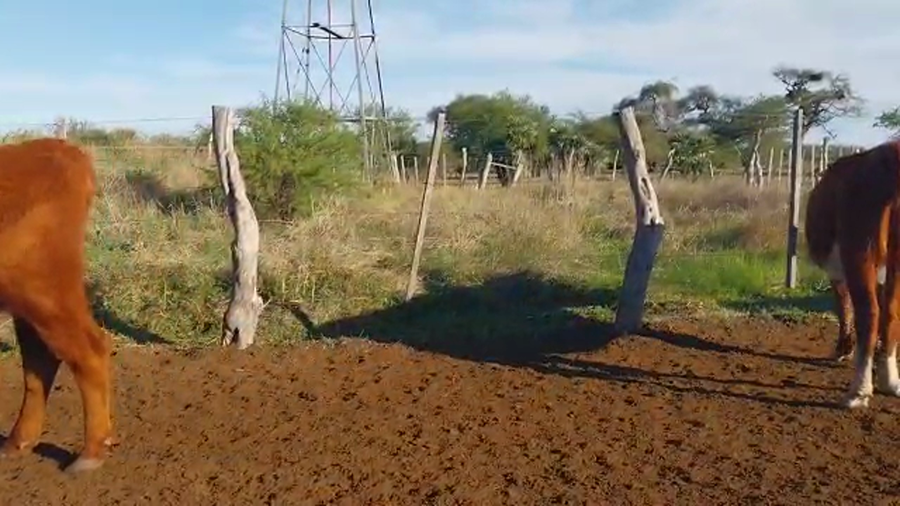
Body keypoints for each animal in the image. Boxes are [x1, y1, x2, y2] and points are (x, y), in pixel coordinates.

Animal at [804, 139, 900, 409]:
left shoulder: (837, 272)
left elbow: (843, 305)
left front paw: (843, 349)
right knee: (890, 312)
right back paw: (891, 381)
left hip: (859, 253)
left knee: (869, 314)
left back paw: (859, 390)